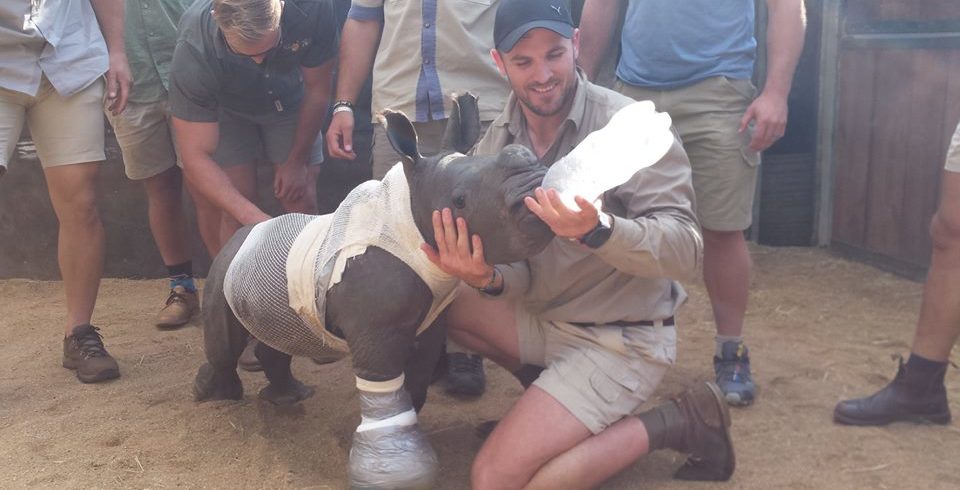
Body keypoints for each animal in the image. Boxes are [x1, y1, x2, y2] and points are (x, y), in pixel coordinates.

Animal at [193, 93, 554, 488]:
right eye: (459, 201)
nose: (537, 187)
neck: (412, 216)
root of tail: (242, 235)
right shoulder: (376, 328)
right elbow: (384, 381)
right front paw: (394, 471)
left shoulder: (430, 321)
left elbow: (416, 383)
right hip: (223, 268)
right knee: (225, 342)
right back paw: (218, 400)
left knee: (278, 337)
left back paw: (287, 398)